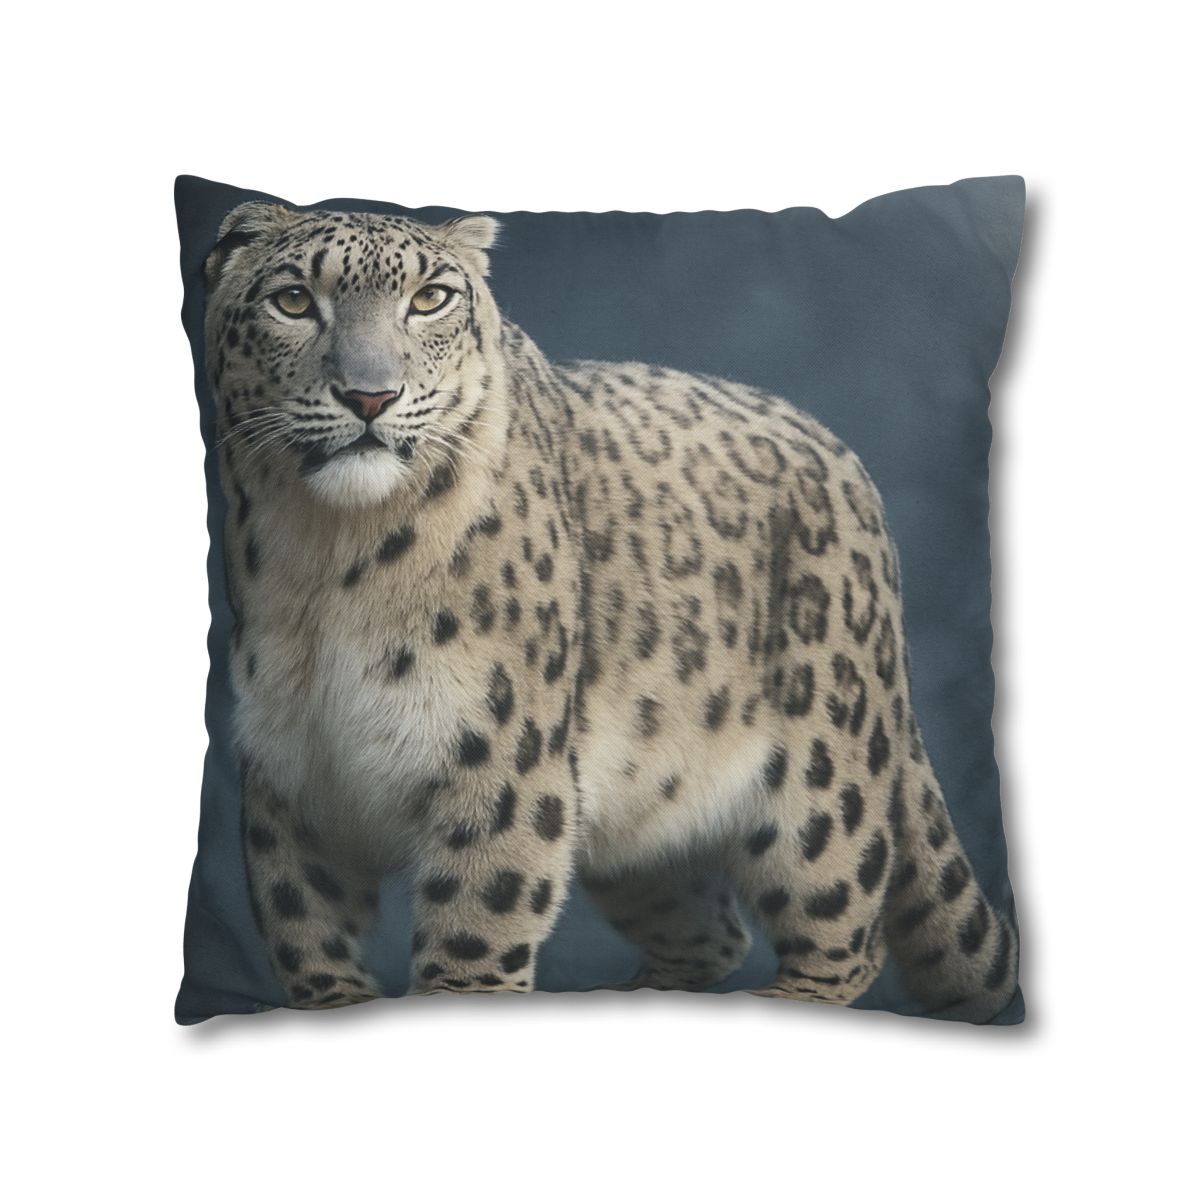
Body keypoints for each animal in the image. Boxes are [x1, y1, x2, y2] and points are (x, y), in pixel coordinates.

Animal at [203, 200, 1018, 1022]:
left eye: (431, 298)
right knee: (710, 929)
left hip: (822, 787)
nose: (370, 396)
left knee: (844, 930)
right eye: (293, 300)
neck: (327, 562)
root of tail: (848, 466)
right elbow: (306, 935)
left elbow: (475, 934)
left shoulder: (499, 761)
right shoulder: (289, 773)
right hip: (642, 815)